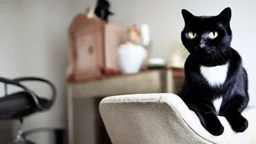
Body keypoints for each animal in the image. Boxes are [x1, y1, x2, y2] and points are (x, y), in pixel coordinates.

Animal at [179, 7, 249, 136]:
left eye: (213, 34)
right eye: (192, 34)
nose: (201, 45)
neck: (212, 65)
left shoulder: (241, 96)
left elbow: (232, 107)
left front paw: (240, 123)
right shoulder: (190, 98)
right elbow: (205, 108)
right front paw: (216, 126)